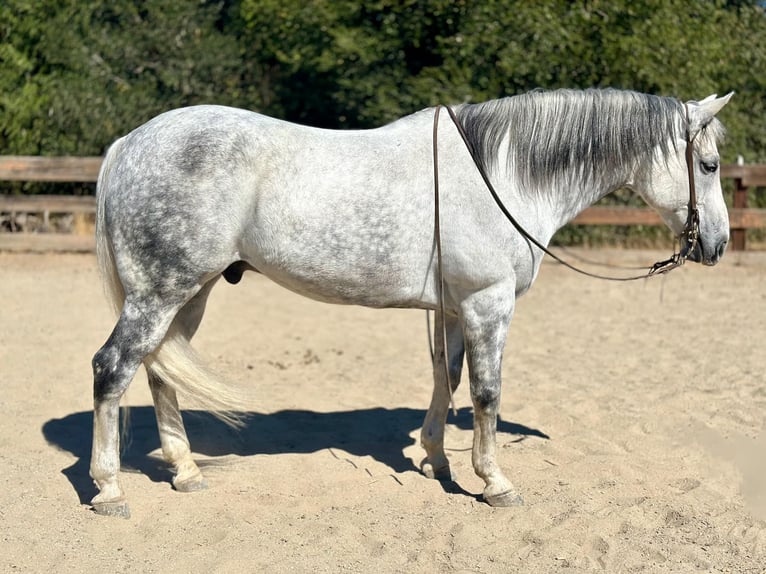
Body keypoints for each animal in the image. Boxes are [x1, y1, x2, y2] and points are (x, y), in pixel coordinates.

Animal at [90, 88, 732, 517]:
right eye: (709, 164)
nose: (718, 245)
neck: (501, 174)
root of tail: (128, 144)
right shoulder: (487, 303)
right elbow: (486, 392)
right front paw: (494, 481)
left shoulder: (452, 309)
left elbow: (446, 378)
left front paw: (434, 459)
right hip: (161, 292)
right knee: (113, 369)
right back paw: (110, 488)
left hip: (189, 295)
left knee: (160, 373)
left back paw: (185, 472)